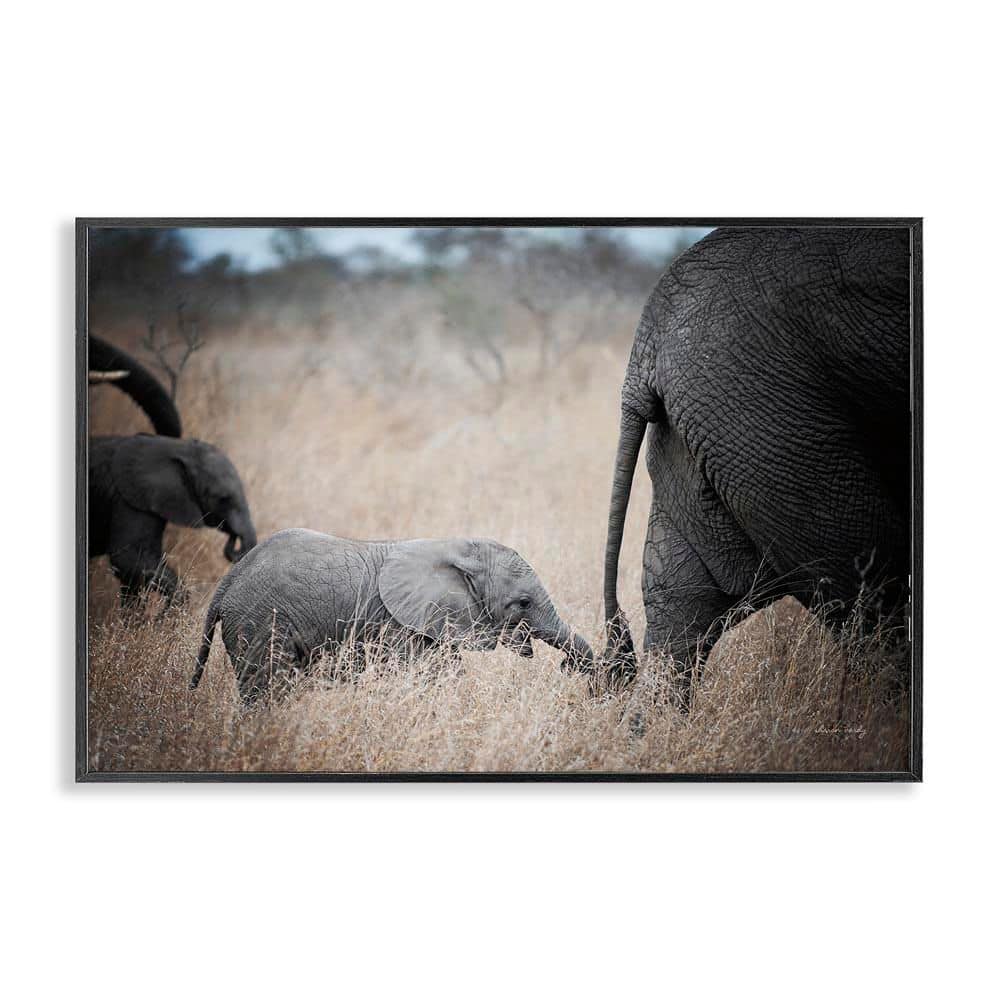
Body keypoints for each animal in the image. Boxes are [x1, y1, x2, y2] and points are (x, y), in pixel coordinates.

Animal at [191, 528, 595, 703]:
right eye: (523, 603)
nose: (569, 668)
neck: (455, 547)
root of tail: (228, 582)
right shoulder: (397, 625)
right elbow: (429, 677)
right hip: (258, 620)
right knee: (268, 687)